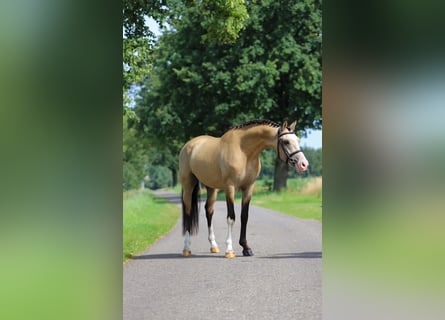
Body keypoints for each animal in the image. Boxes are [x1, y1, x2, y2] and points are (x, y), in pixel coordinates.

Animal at [179, 119, 306, 258]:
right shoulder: (230, 187)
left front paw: (246, 248)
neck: (244, 151)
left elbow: (244, 217)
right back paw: (186, 248)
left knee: (209, 211)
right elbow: (231, 217)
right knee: (188, 211)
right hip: (188, 185)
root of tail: (189, 145)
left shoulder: (249, 187)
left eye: (297, 140)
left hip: (211, 187)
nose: (303, 164)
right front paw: (229, 250)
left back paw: (214, 246)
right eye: (286, 141)